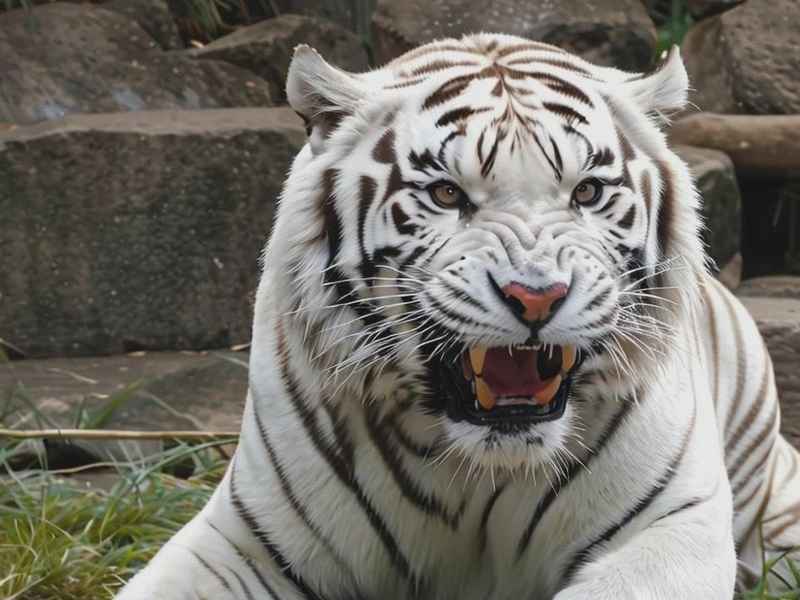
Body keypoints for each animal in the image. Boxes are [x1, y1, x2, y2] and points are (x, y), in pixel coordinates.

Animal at [117, 33, 800, 600]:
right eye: (447, 193)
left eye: (586, 191)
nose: (537, 296)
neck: (478, 473)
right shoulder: (247, 539)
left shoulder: (669, 527)